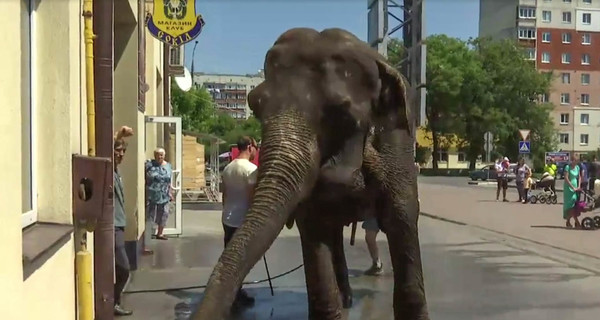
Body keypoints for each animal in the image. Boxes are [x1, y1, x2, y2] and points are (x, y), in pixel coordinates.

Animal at [192, 28, 426, 320]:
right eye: (254, 105)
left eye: (342, 113)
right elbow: (314, 228)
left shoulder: (398, 142)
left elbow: (402, 217)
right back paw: (346, 298)